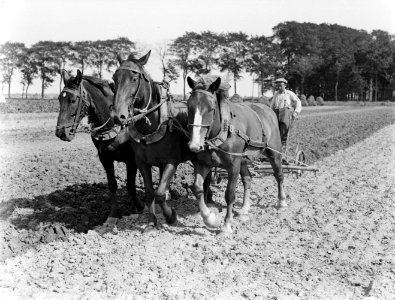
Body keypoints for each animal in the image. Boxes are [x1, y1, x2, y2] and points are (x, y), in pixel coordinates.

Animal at [55, 69, 143, 232]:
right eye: (59, 99)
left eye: (72, 100)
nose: (61, 133)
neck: (116, 125)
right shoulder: (105, 158)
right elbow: (112, 185)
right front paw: (113, 216)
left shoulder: (131, 160)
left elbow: (130, 186)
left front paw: (140, 209)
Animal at [110, 51, 213, 231]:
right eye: (114, 79)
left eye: (134, 79)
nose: (117, 116)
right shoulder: (141, 162)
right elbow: (150, 192)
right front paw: (152, 221)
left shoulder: (172, 161)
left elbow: (159, 193)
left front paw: (171, 217)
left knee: (207, 179)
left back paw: (206, 203)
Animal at [187, 76, 286, 236]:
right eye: (189, 106)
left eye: (211, 108)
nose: (195, 145)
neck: (224, 131)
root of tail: (268, 109)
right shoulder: (203, 164)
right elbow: (197, 188)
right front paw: (210, 219)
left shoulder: (233, 166)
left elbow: (229, 194)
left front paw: (226, 226)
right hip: (243, 160)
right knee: (248, 179)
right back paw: (244, 208)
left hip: (274, 152)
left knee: (279, 175)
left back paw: (282, 201)